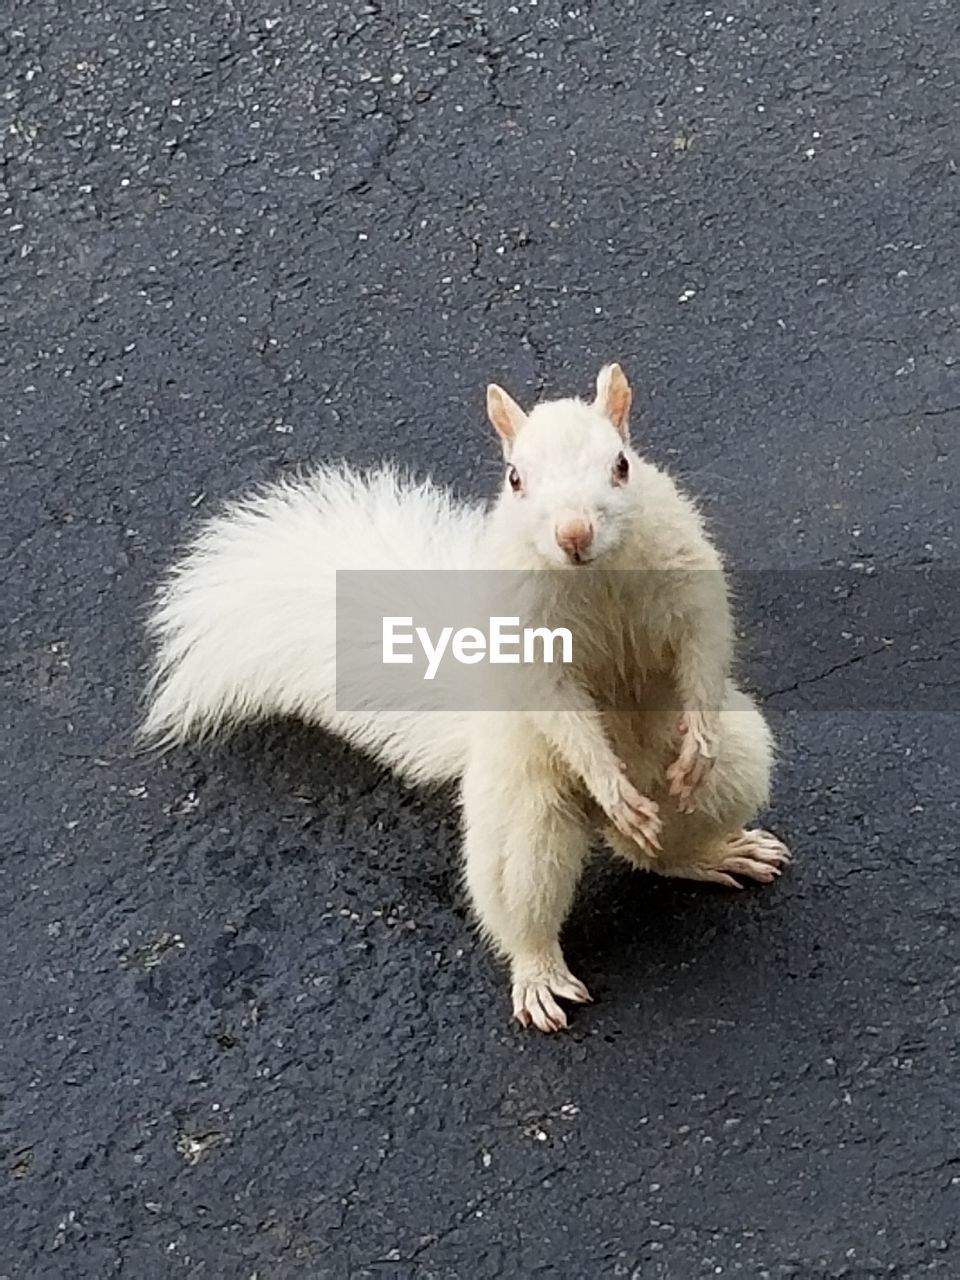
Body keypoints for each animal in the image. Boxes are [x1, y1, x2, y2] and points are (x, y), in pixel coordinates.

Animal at [142, 360, 788, 1029]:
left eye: (622, 464)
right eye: (515, 478)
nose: (574, 533)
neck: (596, 574)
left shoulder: (689, 579)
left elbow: (704, 646)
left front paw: (699, 738)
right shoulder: (526, 633)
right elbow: (555, 700)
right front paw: (607, 778)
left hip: (736, 765)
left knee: (659, 850)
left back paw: (710, 851)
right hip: (522, 817)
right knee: (528, 899)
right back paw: (541, 968)